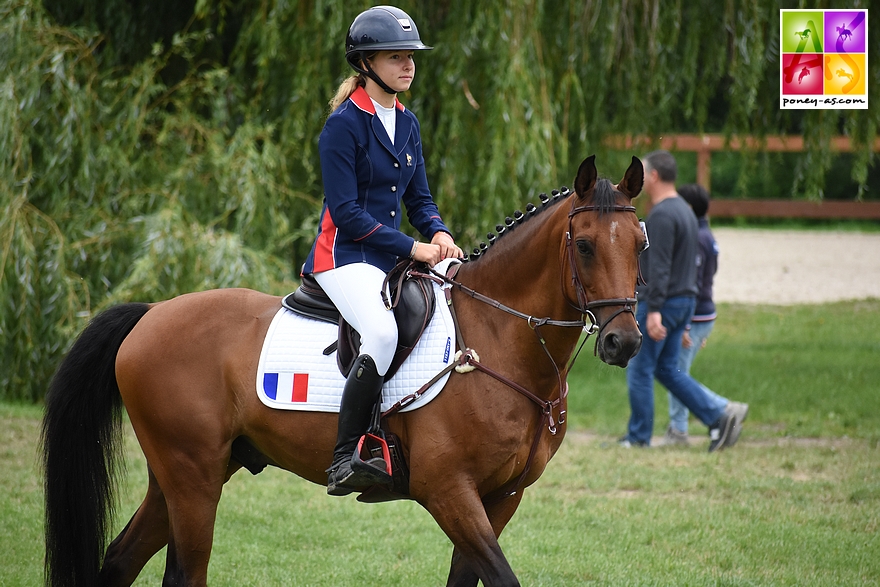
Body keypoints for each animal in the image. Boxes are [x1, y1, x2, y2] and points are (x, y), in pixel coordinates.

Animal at [41, 154, 648, 584]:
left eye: (640, 244)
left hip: (186, 473)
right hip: (193, 477)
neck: (496, 338)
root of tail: (151, 314)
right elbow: (502, 577)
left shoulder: (501, 497)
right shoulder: (449, 491)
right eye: (585, 246)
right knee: (185, 572)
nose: (623, 342)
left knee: (120, 561)